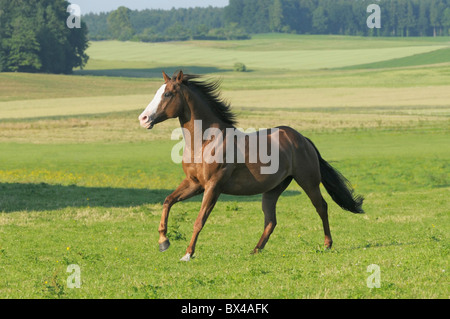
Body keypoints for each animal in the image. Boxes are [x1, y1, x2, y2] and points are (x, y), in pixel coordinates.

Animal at [136, 70, 362, 262]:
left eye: (167, 94)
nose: (143, 119)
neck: (206, 141)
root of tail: (302, 139)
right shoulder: (194, 183)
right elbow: (168, 201)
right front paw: (163, 242)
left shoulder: (213, 186)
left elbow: (199, 220)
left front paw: (187, 254)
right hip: (273, 189)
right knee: (271, 220)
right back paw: (255, 250)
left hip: (308, 182)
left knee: (321, 207)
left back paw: (327, 244)